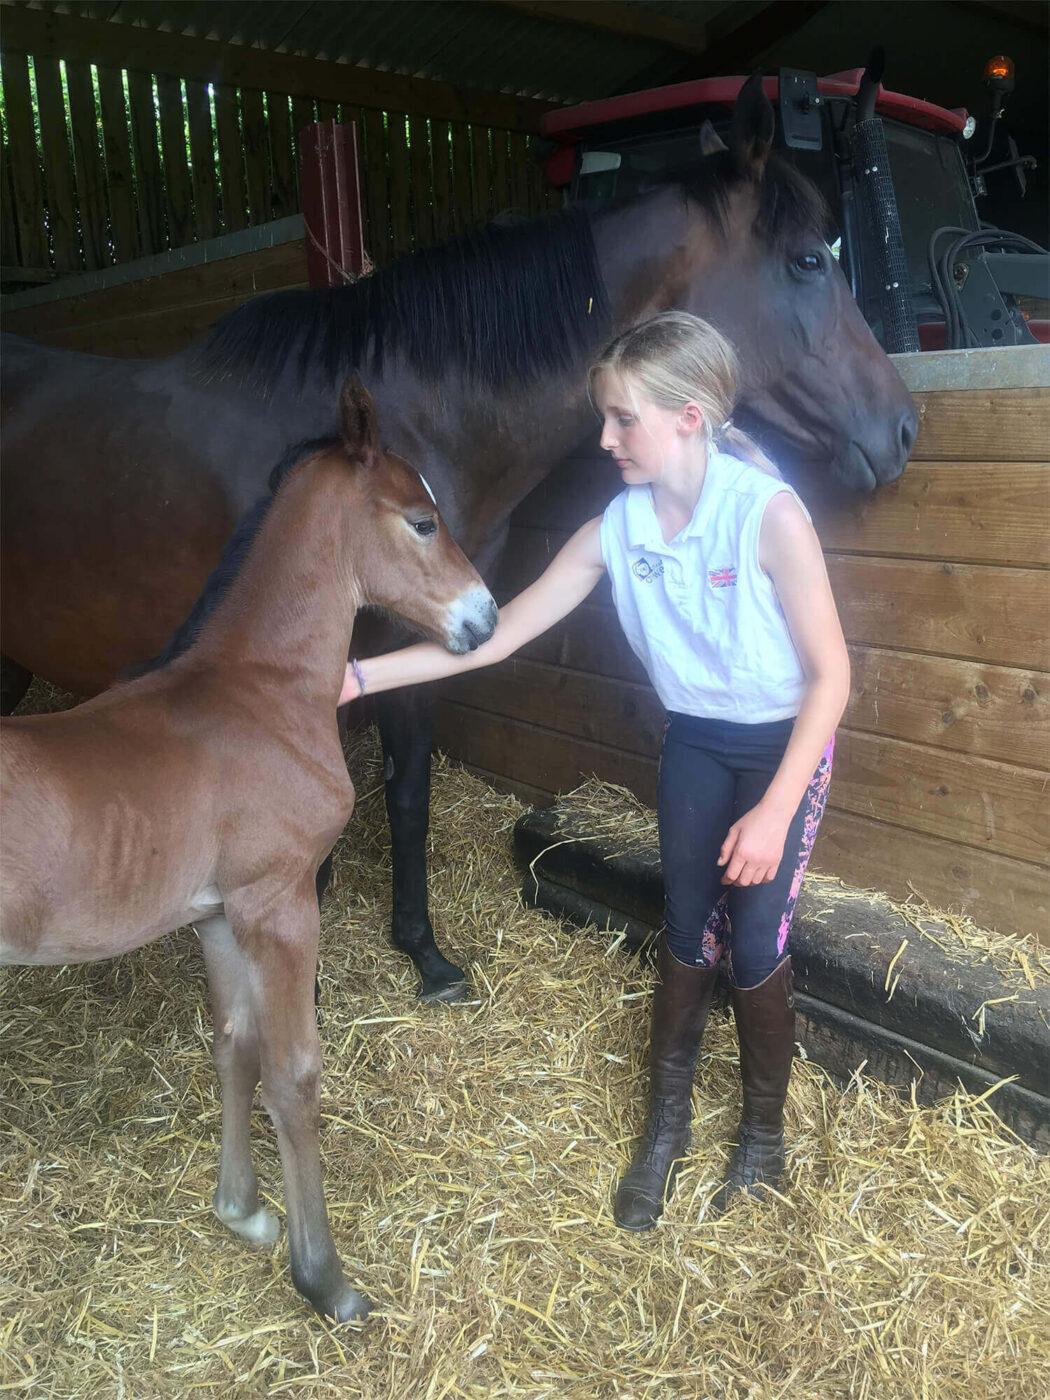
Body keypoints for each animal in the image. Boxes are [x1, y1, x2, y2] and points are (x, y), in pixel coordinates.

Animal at [0, 76, 918, 1002]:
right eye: (808, 260)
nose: (904, 426)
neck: (410, 412)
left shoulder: (422, 639)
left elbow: (409, 795)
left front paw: (423, 952)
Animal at [1, 380, 498, 1321]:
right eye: (422, 520)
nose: (484, 618)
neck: (257, 692)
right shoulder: (282, 904)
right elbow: (293, 1073)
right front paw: (325, 1279)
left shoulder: (219, 917)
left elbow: (233, 1043)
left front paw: (243, 1211)